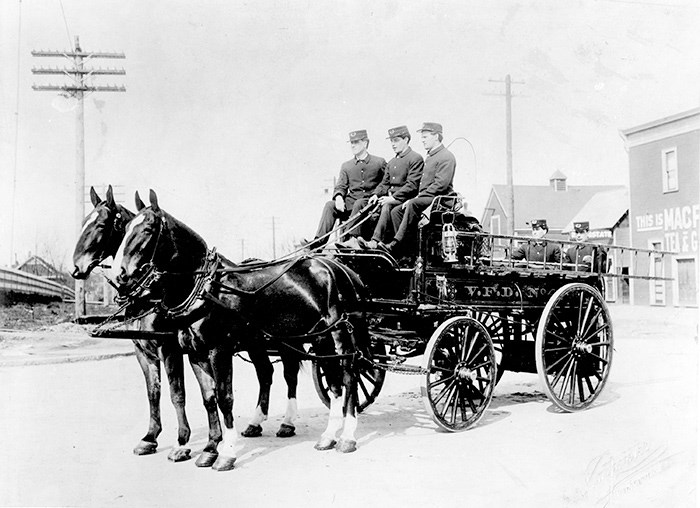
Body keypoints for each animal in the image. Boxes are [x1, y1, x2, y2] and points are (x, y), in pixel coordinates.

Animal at [113, 190, 372, 460]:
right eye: (125, 229)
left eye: (148, 229)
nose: (120, 275)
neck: (205, 289)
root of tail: (338, 267)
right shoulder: (195, 354)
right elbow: (208, 398)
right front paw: (209, 448)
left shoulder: (213, 351)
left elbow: (222, 398)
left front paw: (224, 451)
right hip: (308, 339)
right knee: (325, 380)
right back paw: (319, 433)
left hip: (336, 336)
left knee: (347, 377)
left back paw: (344, 436)